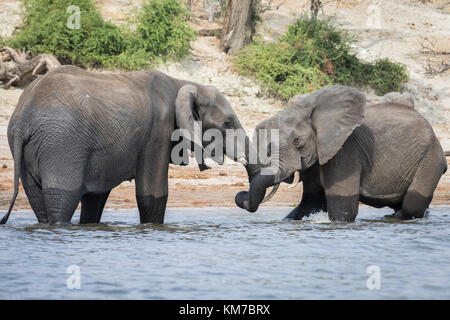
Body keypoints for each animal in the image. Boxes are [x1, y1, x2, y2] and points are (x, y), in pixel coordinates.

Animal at [1, 65, 260, 225]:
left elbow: (95, 197)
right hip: (61, 143)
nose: (241, 197)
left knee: (37, 200)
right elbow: (153, 194)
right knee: (62, 200)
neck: (183, 84)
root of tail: (23, 118)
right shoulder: (158, 130)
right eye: (227, 123)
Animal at [236, 84, 446, 222]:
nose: (241, 195)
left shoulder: (344, 151)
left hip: (430, 158)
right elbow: (310, 203)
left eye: (297, 142)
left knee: (412, 203)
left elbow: (343, 207)